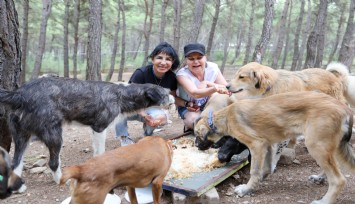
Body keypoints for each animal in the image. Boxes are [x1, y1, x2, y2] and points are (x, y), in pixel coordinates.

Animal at [0, 77, 174, 190]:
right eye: (165, 94)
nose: (173, 96)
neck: (122, 94)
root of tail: (20, 94)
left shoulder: (95, 130)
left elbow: (96, 152)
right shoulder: (99, 128)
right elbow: (100, 151)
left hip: (21, 137)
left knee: (16, 163)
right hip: (55, 136)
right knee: (53, 163)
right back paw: (61, 180)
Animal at [195, 91, 355, 203]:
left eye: (197, 135)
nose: (196, 146)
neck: (226, 117)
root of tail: (345, 108)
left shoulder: (256, 145)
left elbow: (254, 170)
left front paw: (246, 189)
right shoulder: (267, 144)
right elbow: (265, 167)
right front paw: (261, 179)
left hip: (315, 145)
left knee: (338, 179)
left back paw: (324, 201)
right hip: (328, 146)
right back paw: (320, 177)